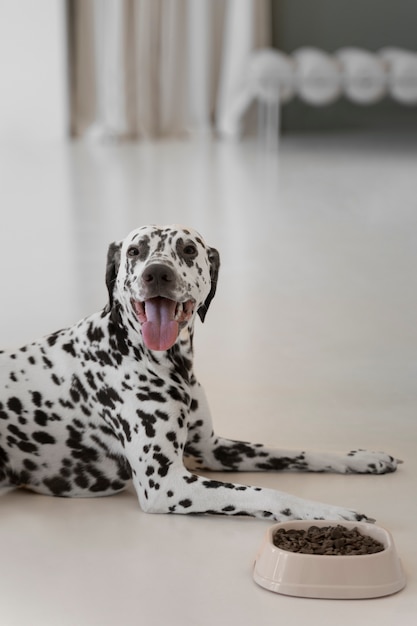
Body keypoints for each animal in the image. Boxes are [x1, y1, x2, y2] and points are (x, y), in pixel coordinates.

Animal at [0, 227, 400, 520]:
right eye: (135, 251)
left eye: (189, 250)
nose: (157, 273)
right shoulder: (166, 484)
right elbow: (268, 492)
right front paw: (327, 512)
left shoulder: (211, 448)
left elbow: (297, 452)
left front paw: (360, 458)